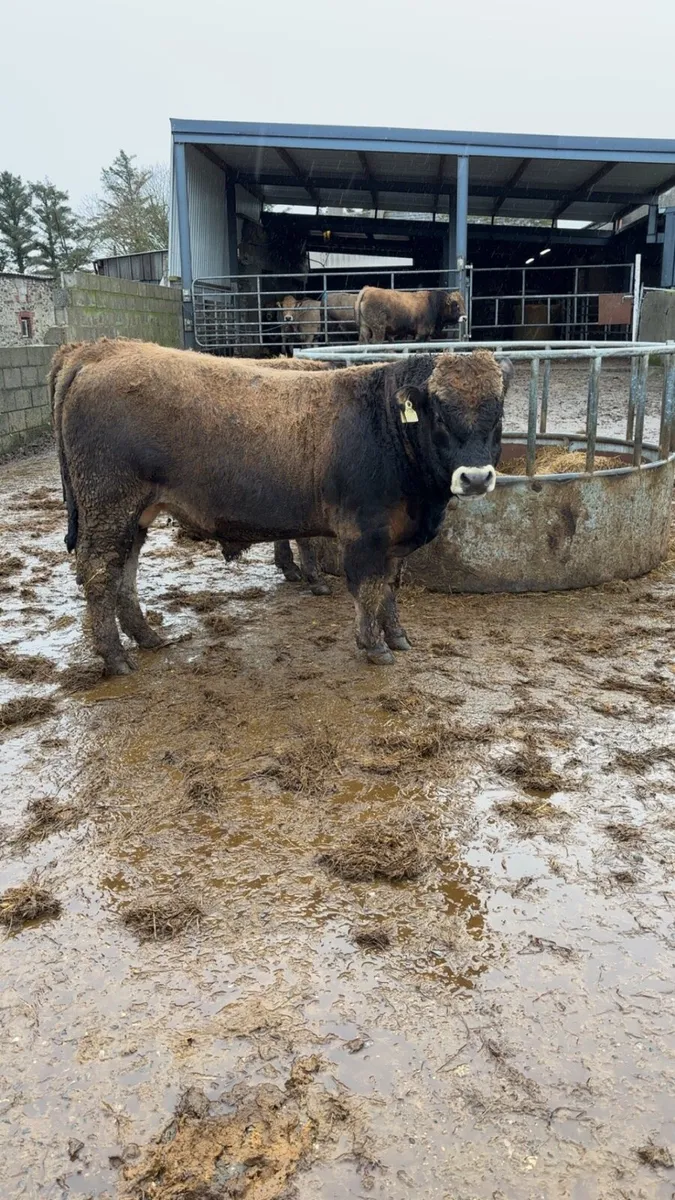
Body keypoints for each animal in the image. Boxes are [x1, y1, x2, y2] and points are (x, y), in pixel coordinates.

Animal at [50, 338, 511, 675]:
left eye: (498, 414)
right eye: (440, 413)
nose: (475, 478)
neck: (384, 425)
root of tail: (101, 349)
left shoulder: (395, 537)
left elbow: (390, 588)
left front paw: (397, 636)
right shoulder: (364, 534)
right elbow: (367, 589)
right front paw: (374, 645)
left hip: (134, 514)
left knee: (123, 573)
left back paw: (148, 638)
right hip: (108, 505)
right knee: (99, 575)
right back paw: (116, 658)